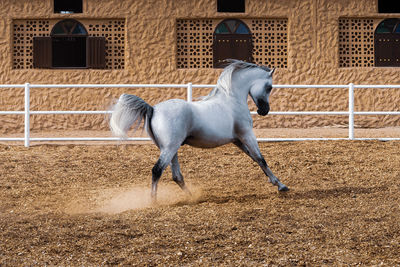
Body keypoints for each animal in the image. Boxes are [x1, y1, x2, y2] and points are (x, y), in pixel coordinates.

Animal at [109, 59, 288, 201]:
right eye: (269, 87)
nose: (264, 110)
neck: (232, 100)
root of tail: (153, 109)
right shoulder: (246, 135)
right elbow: (261, 158)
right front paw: (281, 186)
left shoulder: (237, 140)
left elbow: (255, 158)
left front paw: (277, 183)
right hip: (169, 148)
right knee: (157, 170)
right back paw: (153, 202)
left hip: (171, 149)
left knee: (176, 176)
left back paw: (192, 197)